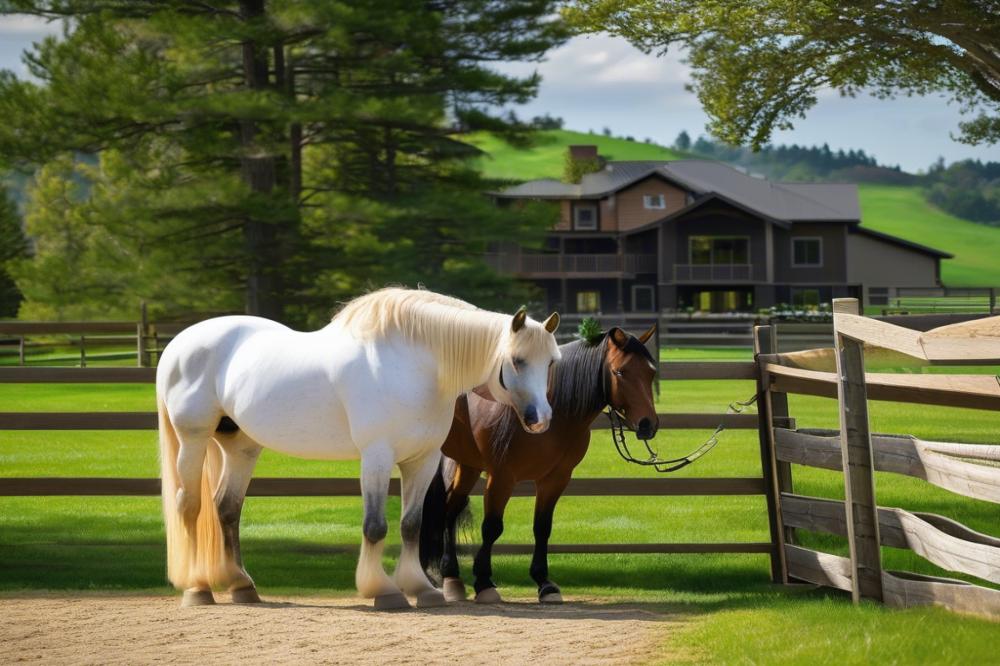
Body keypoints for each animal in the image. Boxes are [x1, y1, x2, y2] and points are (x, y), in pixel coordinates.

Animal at [158, 286, 564, 608]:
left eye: (551, 362)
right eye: (517, 360)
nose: (541, 419)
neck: (413, 365)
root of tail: (179, 344)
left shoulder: (422, 460)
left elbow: (411, 524)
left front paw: (421, 589)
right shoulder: (377, 457)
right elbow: (375, 526)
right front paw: (382, 591)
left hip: (241, 447)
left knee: (226, 508)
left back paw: (242, 586)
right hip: (193, 440)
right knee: (189, 506)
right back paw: (197, 588)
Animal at [420, 322, 660, 600]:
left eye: (651, 373)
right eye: (620, 371)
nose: (647, 424)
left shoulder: (555, 478)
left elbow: (542, 527)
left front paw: (544, 582)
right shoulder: (502, 477)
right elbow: (492, 527)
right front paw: (484, 581)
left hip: (467, 465)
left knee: (450, 509)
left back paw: (450, 577)